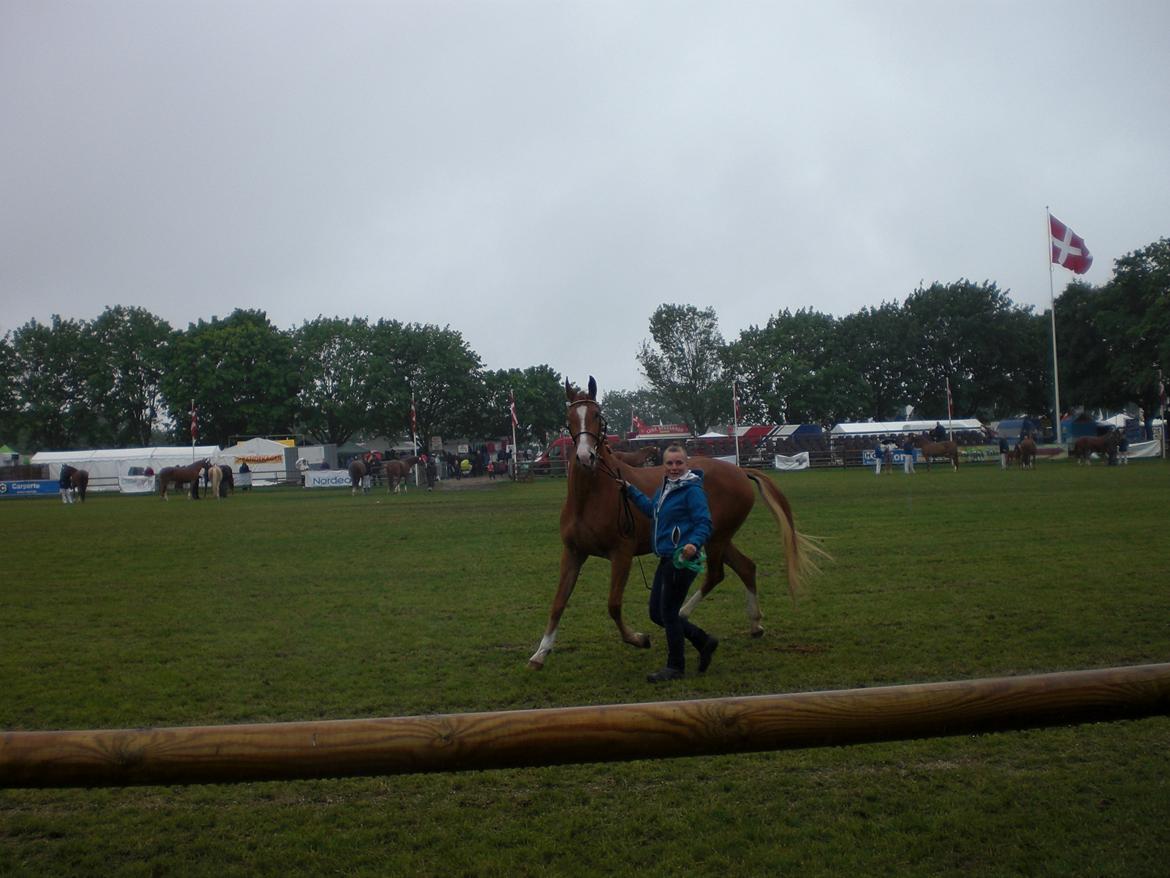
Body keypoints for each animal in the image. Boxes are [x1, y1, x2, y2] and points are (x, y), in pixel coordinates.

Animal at [528, 379, 823, 674]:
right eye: (569, 418)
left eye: (597, 415)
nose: (584, 457)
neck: (593, 496)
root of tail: (739, 471)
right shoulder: (573, 553)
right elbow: (558, 603)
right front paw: (540, 653)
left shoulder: (621, 554)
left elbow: (613, 605)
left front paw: (639, 638)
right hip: (718, 538)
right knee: (746, 567)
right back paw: (755, 624)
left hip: (715, 539)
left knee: (715, 575)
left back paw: (683, 613)